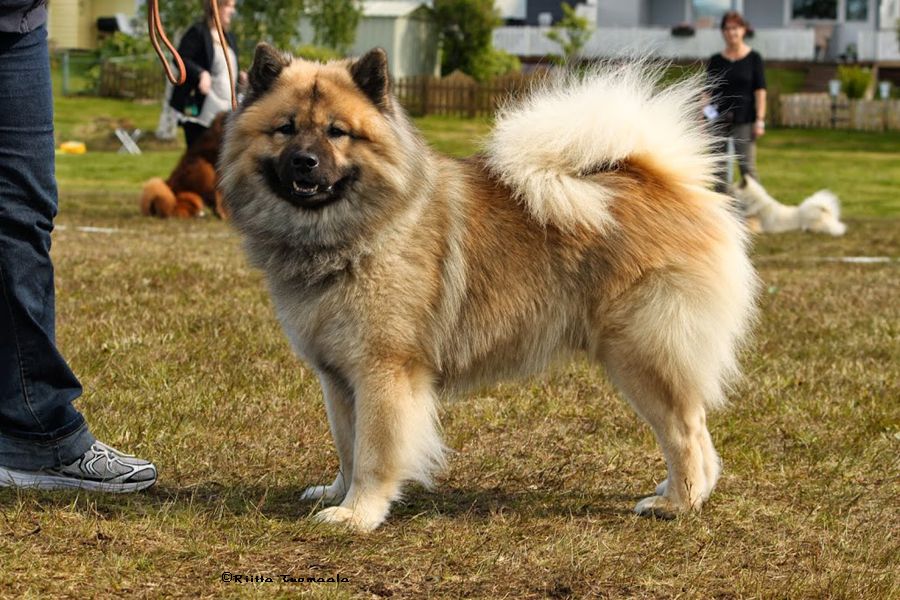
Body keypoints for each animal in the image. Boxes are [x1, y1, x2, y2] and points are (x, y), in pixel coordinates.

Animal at [218, 45, 759, 531]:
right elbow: (347, 446)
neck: (359, 233)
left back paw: (678, 503)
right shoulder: (337, 377)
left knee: (685, 430)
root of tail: (664, 181)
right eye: (285, 128)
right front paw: (336, 492)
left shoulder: (383, 372)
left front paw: (358, 513)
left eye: (338, 132)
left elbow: (373, 453)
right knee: (697, 432)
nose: (305, 161)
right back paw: (684, 494)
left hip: (641, 352)